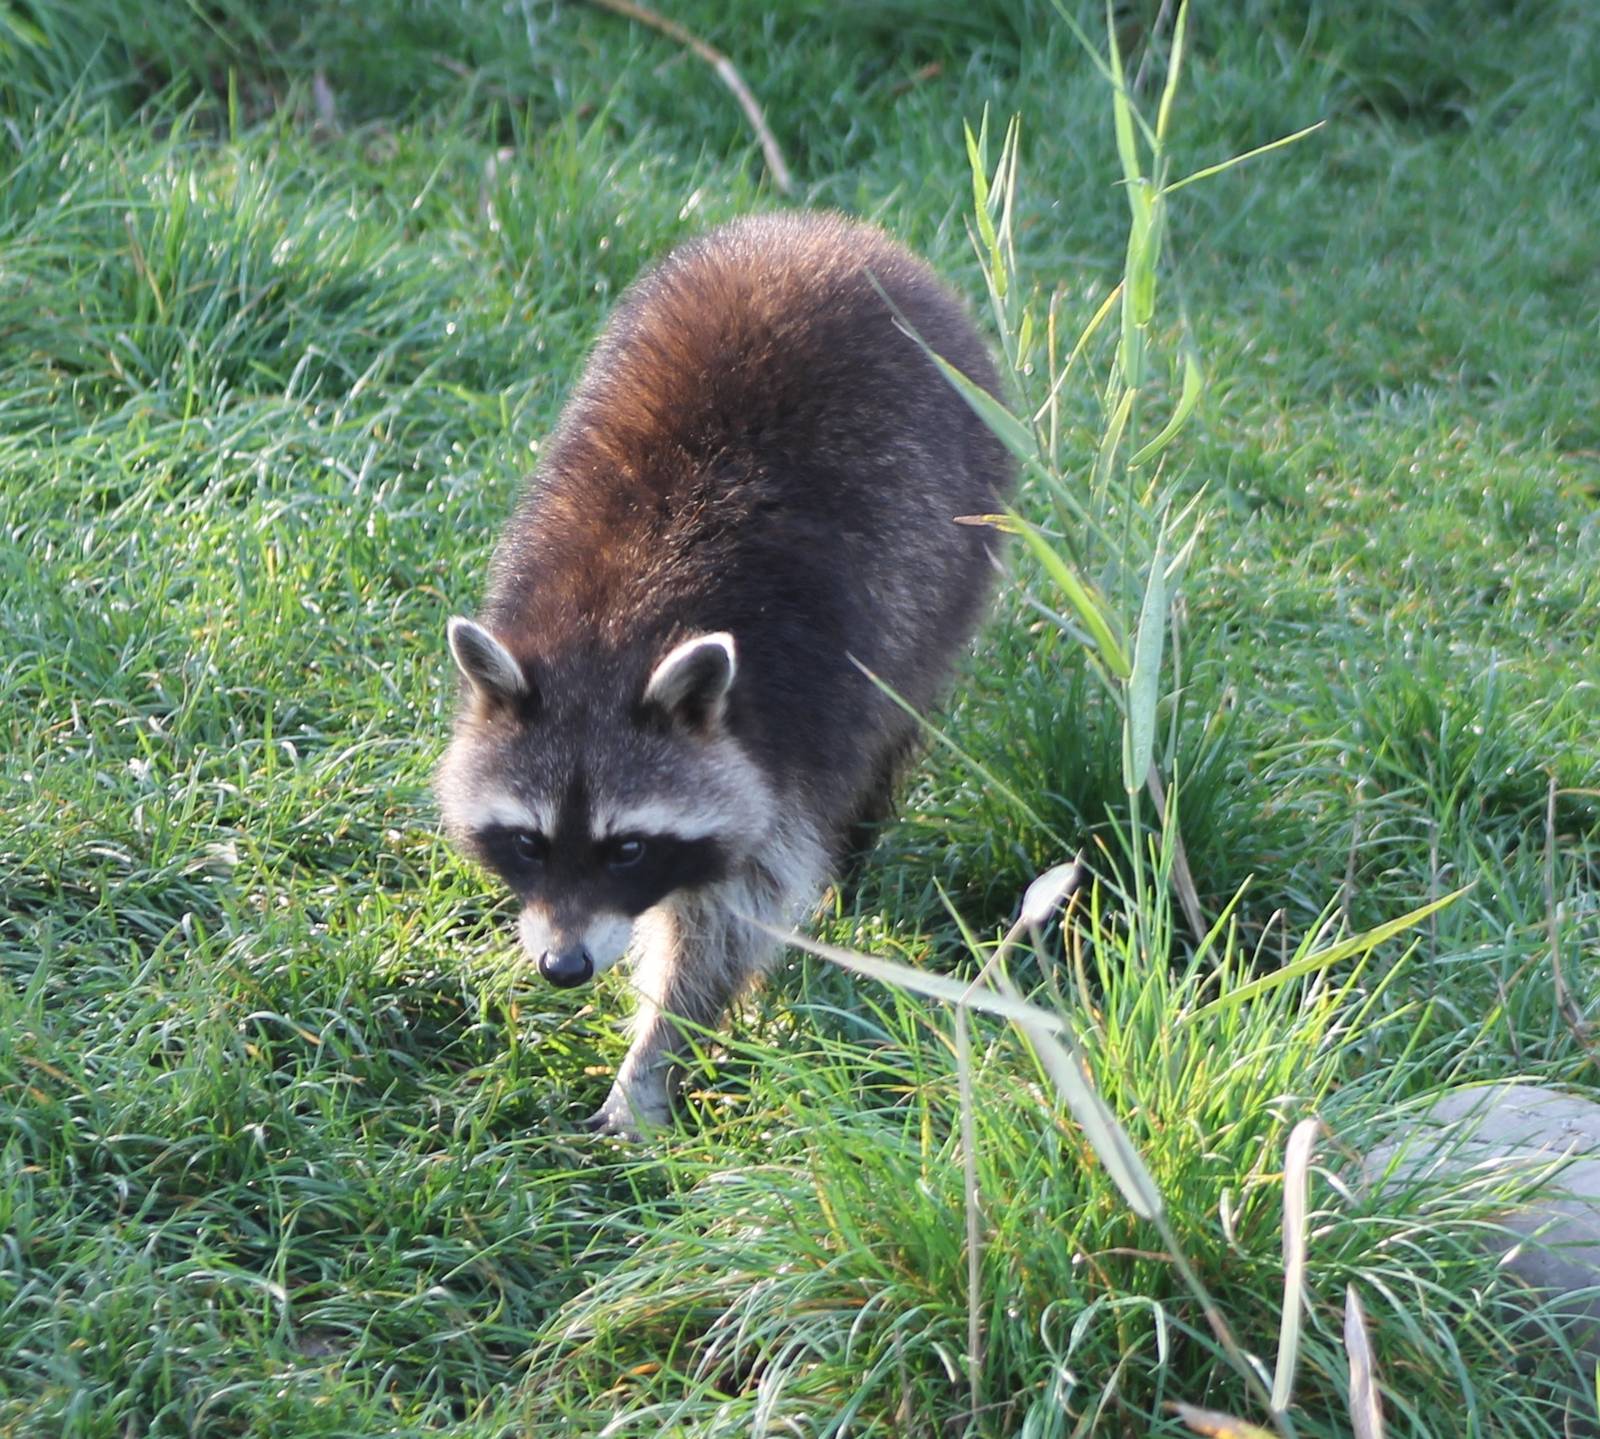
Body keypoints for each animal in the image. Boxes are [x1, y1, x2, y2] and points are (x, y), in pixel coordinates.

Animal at [437, 211, 1013, 1136]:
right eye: (528, 841)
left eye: (629, 848)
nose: (564, 966)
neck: (611, 639)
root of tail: (835, 234)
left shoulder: (792, 722)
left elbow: (735, 912)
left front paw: (651, 1059)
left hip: (964, 539)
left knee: (897, 719)